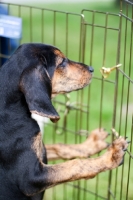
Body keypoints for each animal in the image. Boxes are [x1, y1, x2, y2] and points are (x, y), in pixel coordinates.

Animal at [0, 43, 129, 200]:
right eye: (61, 62)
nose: (91, 68)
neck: (11, 106)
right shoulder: (30, 178)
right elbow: (75, 165)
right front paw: (112, 156)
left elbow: (59, 146)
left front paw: (91, 144)